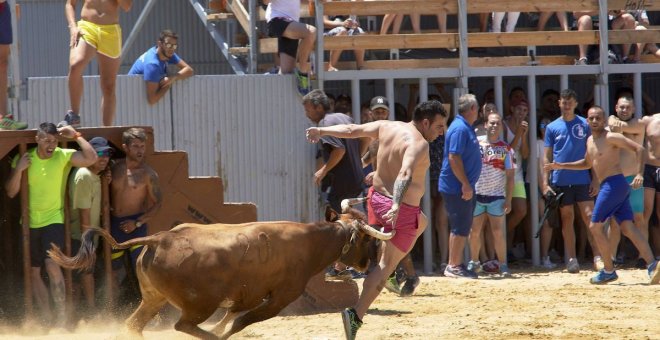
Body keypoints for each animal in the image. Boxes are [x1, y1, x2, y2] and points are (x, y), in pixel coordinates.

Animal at [50, 199, 392, 340]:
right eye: (366, 239)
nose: (370, 262)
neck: (308, 243)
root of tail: (160, 237)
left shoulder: (248, 296)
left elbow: (232, 316)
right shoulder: (280, 298)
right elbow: (239, 322)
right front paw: (222, 333)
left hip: (153, 299)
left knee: (135, 324)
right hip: (198, 304)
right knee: (183, 325)